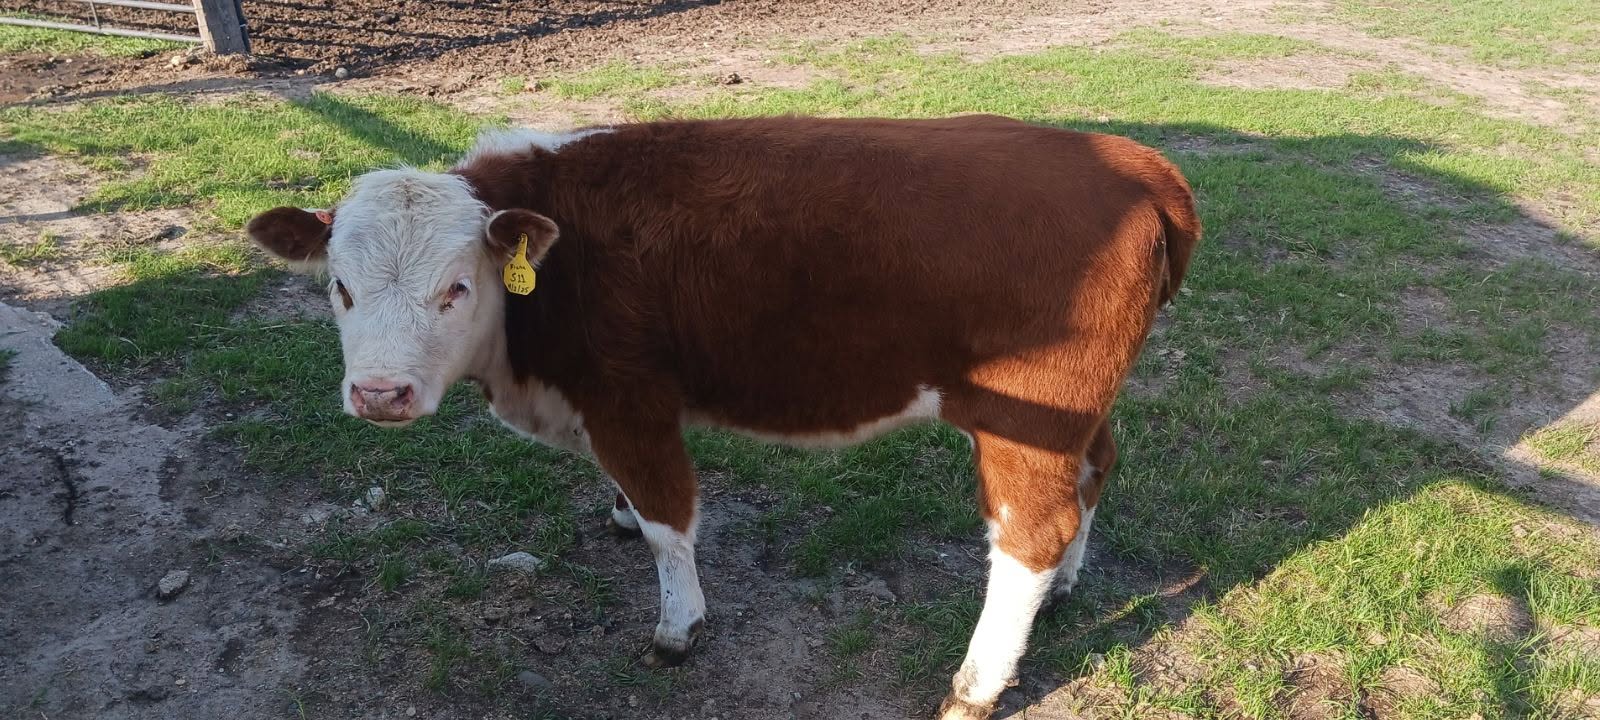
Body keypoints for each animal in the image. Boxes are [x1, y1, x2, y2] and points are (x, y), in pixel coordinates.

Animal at [245, 114, 1200, 720]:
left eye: (456, 288)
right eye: (340, 288)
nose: (380, 394)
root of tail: (1132, 161)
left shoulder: (631, 402)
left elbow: (671, 523)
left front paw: (678, 627)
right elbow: (634, 506)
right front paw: (617, 516)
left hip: (1027, 420)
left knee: (1028, 535)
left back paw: (975, 686)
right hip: (1078, 414)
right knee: (1097, 472)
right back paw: (1068, 585)